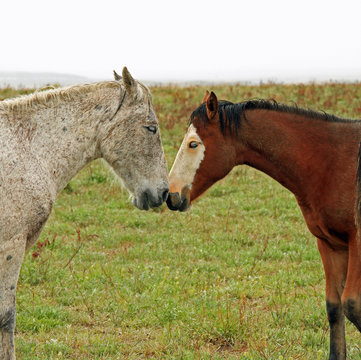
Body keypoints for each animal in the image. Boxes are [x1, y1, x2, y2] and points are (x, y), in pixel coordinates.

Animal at [166, 91, 360, 358]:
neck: (333, 163)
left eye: (193, 144)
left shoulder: (357, 242)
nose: (171, 195)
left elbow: (352, 305)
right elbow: (334, 307)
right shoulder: (330, 244)